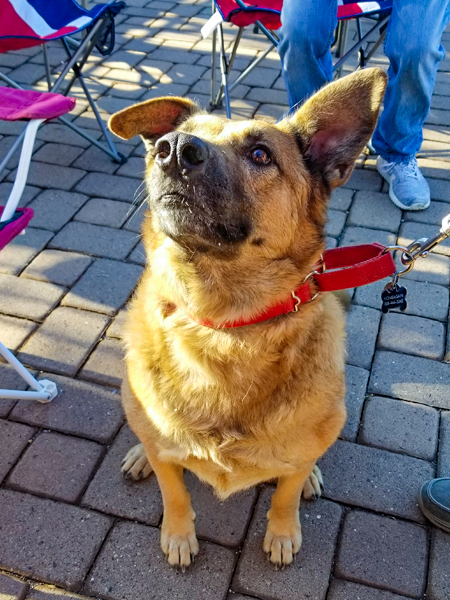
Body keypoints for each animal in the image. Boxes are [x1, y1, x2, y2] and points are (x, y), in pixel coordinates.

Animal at [108, 68, 386, 568]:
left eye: (260, 154)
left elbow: (285, 494)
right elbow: (174, 489)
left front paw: (282, 532)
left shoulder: (298, 455)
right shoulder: (167, 458)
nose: (173, 149)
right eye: (181, 136)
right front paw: (178, 534)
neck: (223, 325)